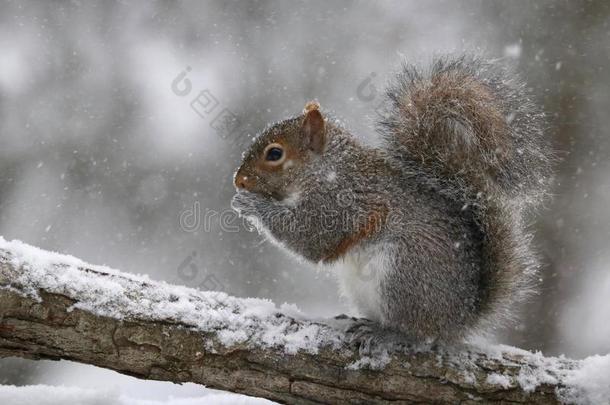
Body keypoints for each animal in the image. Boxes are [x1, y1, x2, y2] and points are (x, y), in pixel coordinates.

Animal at [229, 55, 552, 342]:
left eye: (275, 154)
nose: (238, 180)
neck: (328, 170)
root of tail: (459, 318)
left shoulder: (341, 202)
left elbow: (311, 236)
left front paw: (250, 204)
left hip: (404, 271)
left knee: (415, 330)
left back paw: (386, 333)